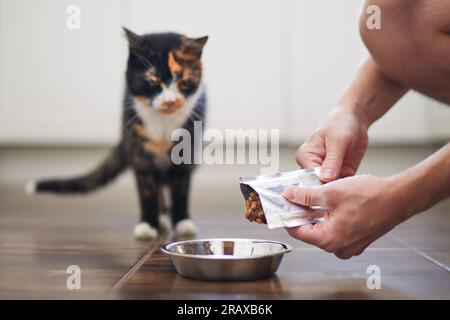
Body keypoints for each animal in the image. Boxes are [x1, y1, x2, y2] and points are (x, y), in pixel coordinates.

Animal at [27, 28, 209, 240]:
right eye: (152, 81)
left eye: (182, 81)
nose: (169, 101)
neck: (163, 125)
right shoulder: (139, 153)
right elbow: (147, 191)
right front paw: (148, 224)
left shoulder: (187, 153)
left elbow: (181, 189)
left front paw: (182, 222)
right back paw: (161, 218)